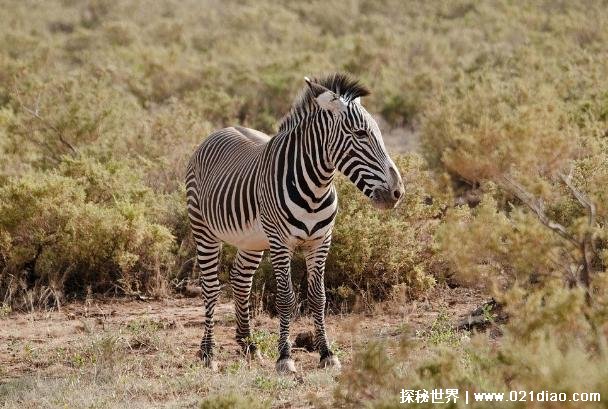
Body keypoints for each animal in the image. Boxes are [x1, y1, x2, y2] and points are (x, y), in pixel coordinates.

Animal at [185, 73, 404, 372]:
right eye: (360, 134)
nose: (397, 192)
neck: (316, 188)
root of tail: (220, 130)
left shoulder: (321, 241)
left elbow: (318, 297)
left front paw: (326, 353)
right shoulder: (280, 242)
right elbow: (286, 298)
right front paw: (285, 357)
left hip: (251, 240)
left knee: (240, 280)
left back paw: (249, 346)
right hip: (204, 230)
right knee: (210, 287)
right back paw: (208, 353)